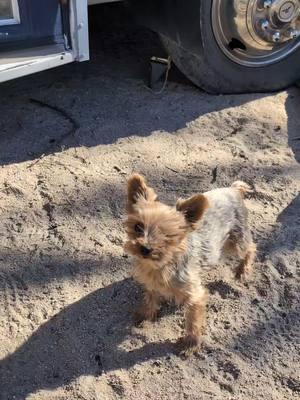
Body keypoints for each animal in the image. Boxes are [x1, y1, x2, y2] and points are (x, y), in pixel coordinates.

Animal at [124, 173, 255, 354]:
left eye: (167, 235)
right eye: (138, 226)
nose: (145, 248)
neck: (161, 265)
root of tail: (233, 189)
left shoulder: (195, 296)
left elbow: (193, 321)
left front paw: (190, 343)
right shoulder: (151, 283)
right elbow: (150, 297)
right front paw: (145, 314)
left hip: (236, 241)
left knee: (250, 248)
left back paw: (242, 271)